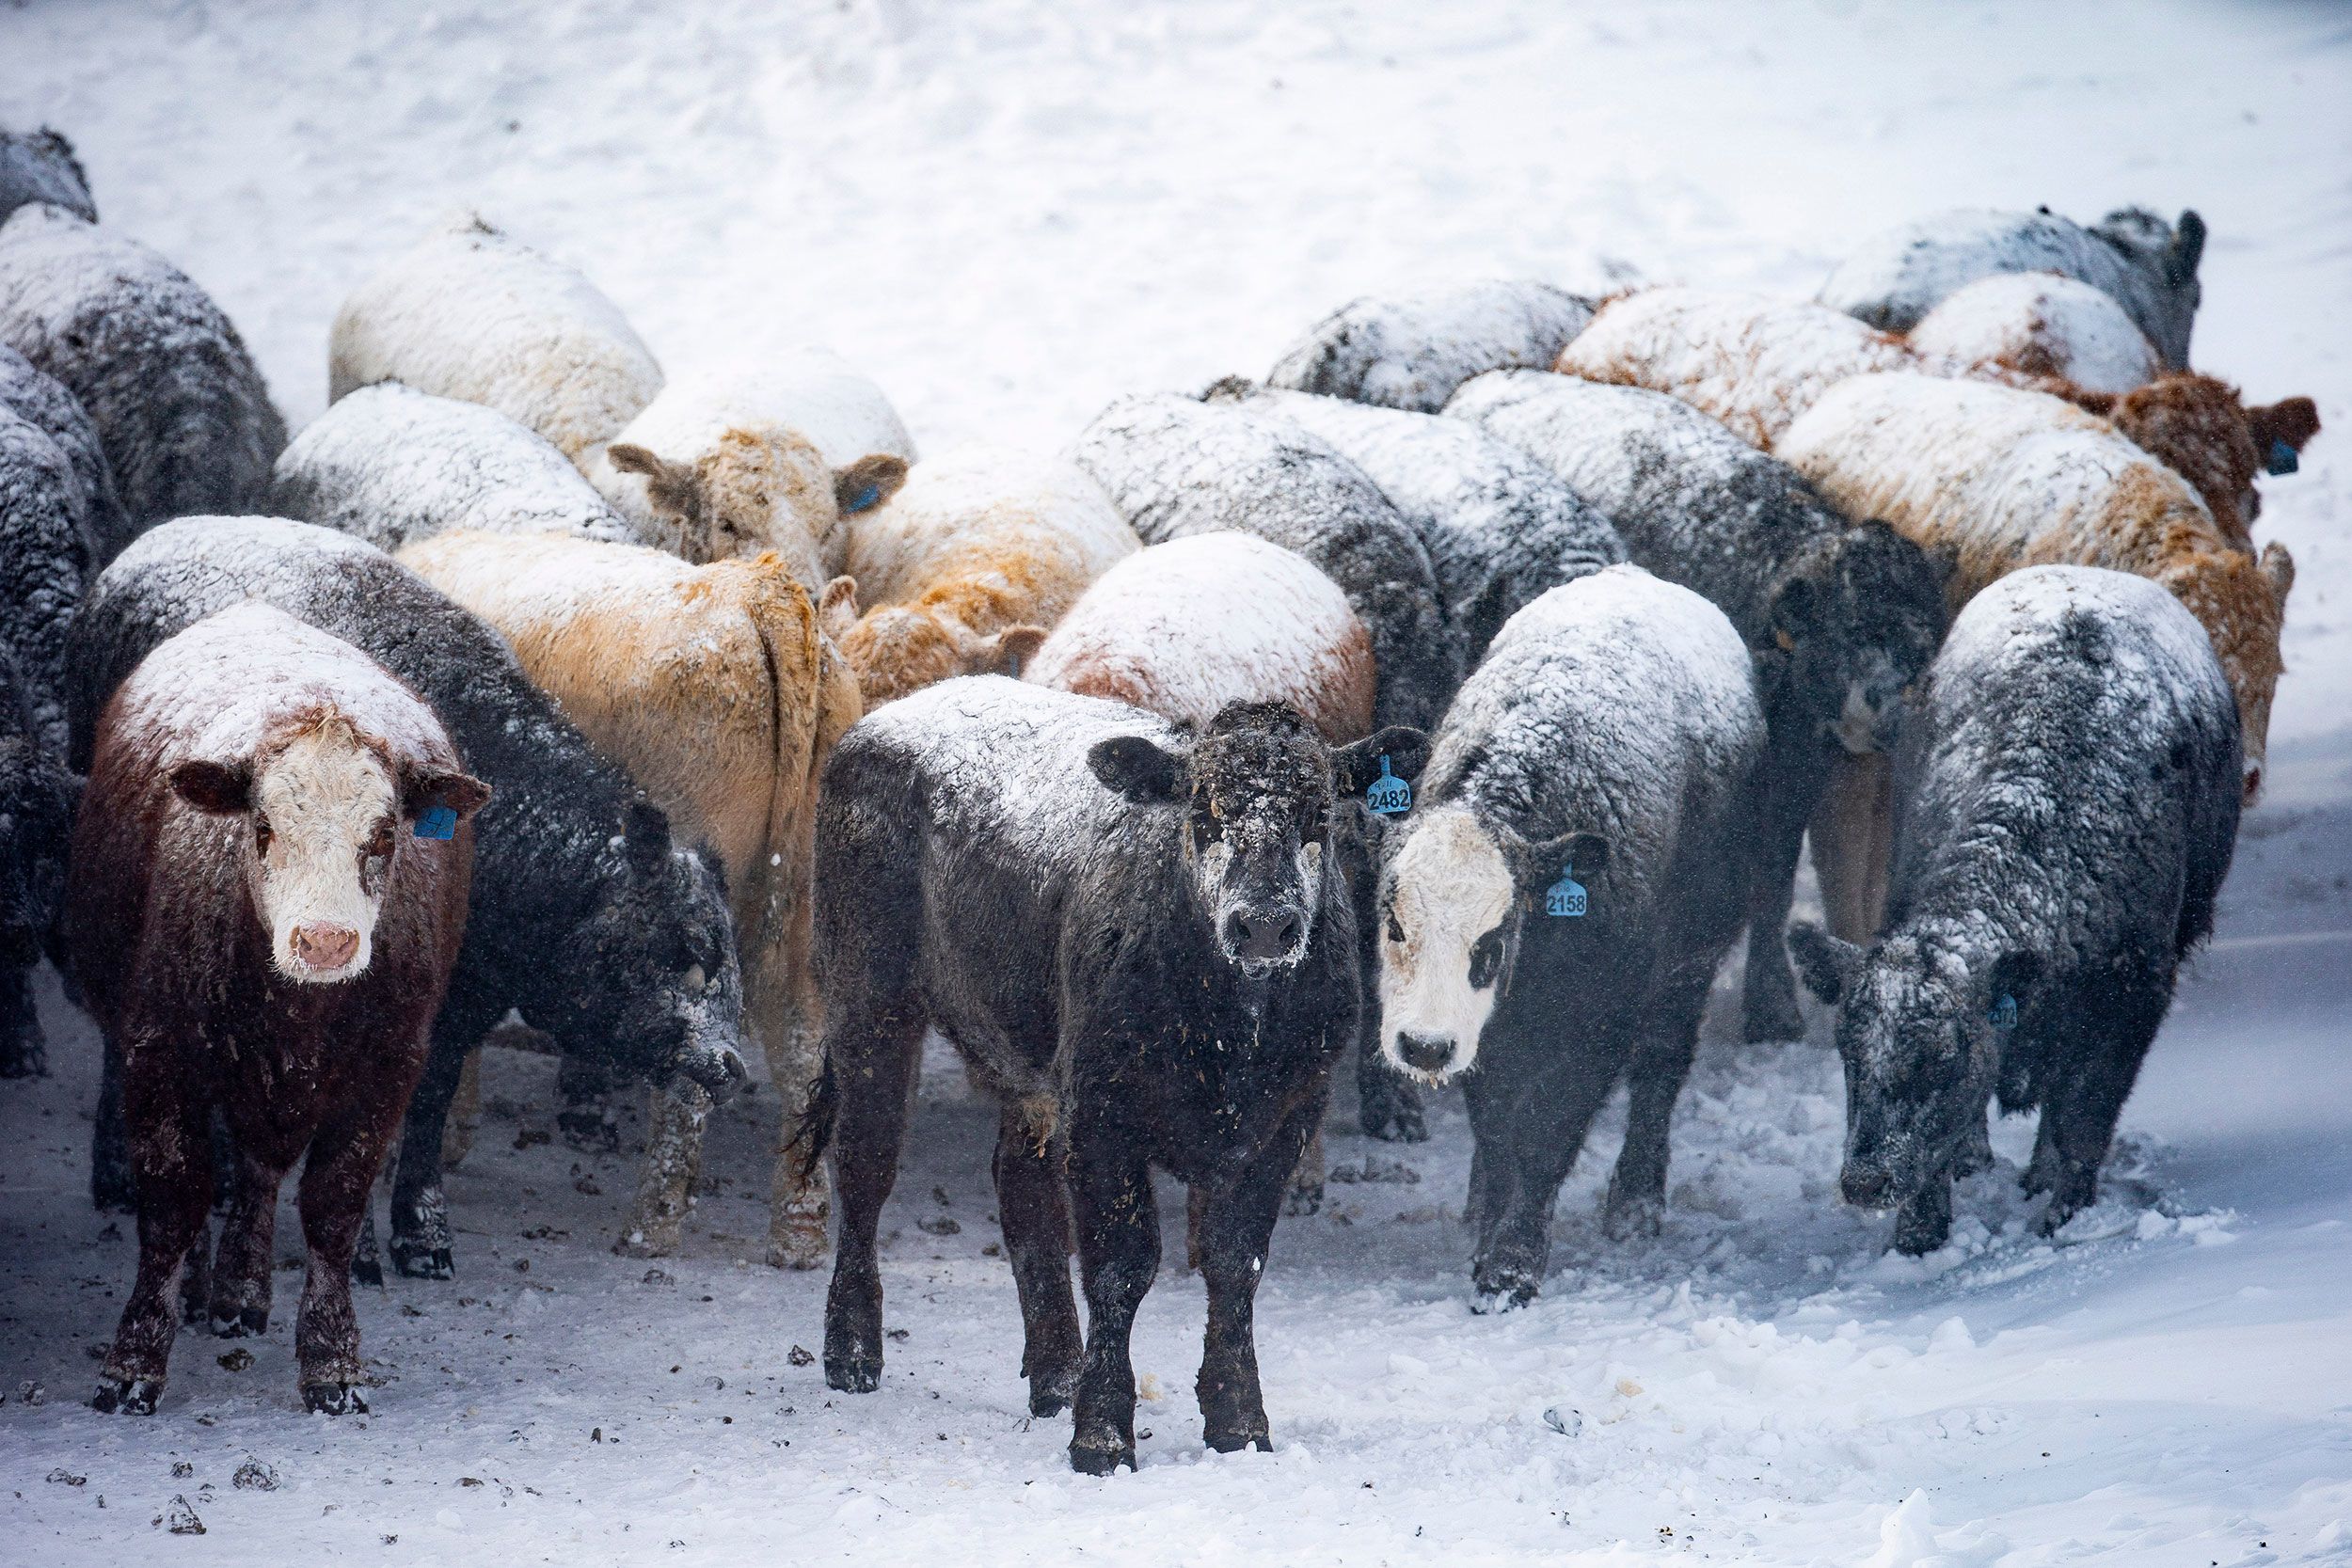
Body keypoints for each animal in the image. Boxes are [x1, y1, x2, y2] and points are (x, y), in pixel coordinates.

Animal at [400, 533, 861, 1269]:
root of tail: (761, 593)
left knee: (693, 1069)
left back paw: (651, 1225)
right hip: (802, 914)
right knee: (802, 1049)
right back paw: (799, 1232)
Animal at [800, 681, 1421, 1476]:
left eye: (1318, 816)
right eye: (1202, 814)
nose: (1263, 925)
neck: (1231, 1031)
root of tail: (881, 723)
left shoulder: (1284, 1119)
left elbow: (1235, 1262)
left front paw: (1240, 1422)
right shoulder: (1103, 1116)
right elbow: (1121, 1264)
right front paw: (1102, 1434)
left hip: (1025, 1070)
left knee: (1022, 1191)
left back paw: (1057, 1371)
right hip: (869, 1005)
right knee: (865, 1166)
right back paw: (852, 1352)